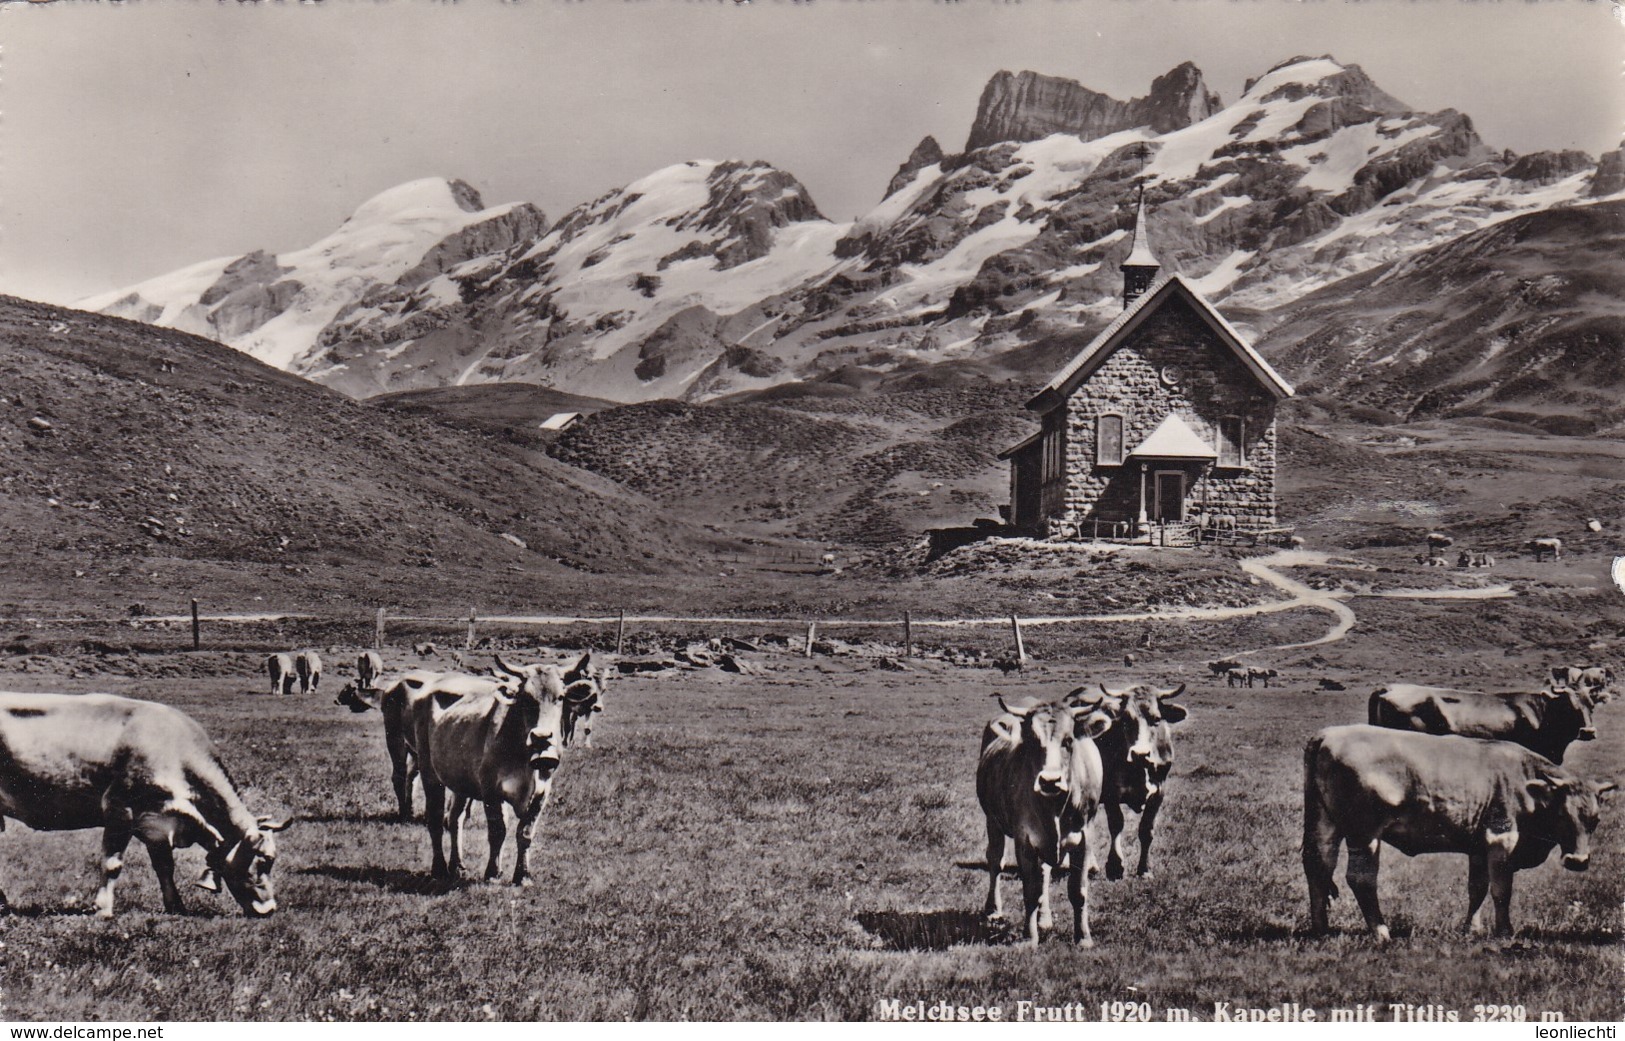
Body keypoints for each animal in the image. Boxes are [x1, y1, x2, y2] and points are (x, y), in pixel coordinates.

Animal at [0, 695, 289, 915]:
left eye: (272, 860)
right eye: (261, 862)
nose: (270, 909)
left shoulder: (157, 823)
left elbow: (165, 867)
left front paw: (176, 906)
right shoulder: (119, 809)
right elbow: (112, 863)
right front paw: (103, 909)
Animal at [975, 695, 1118, 948]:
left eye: (1069, 740)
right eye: (1032, 741)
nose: (1050, 781)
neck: (1054, 808)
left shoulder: (1084, 838)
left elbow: (1077, 890)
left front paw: (1083, 937)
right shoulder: (1024, 839)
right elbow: (1030, 891)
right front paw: (1029, 937)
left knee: (1044, 872)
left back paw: (1044, 919)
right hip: (992, 821)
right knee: (995, 861)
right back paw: (993, 910)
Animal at [1066, 685, 1196, 883]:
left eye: (1156, 718)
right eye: (1125, 719)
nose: (1140, 753)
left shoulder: (1159, 791)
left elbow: (1146, 829)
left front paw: (1145, 869)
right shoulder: (1111, 792)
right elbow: (1116, 824)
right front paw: (1115, 866)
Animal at [1293, 727, 1612, 935]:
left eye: (1595, 820)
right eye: (1562, 815)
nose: (1578, 861)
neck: (1526, 782)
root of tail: (1329, 735)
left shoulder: (1478, 846)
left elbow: (1477, 888)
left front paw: (1471, 928)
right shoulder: (1501, 838)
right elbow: (1501, 889)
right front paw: (1505, 931)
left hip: (1325, 823)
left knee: (1319, 866)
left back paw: (1321, 929)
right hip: (1365, 833)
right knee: (1360, 878)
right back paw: (1381, 932)